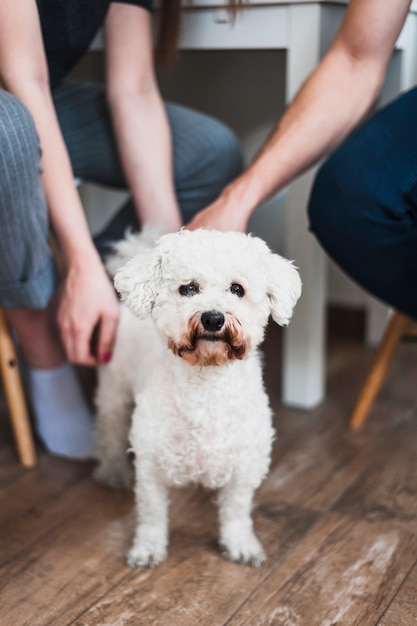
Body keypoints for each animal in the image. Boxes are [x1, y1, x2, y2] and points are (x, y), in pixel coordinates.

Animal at [94, 227, 300, 568]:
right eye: (188, 288)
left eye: (237, 289)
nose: (213, 318)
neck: (206, 385)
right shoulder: (151, 466)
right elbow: (151, 514)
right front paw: (147, 548)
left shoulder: (244, 466)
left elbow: (236, 511)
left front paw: (241, 544)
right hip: (115, 392)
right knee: (109, 432)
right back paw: (113, 471)